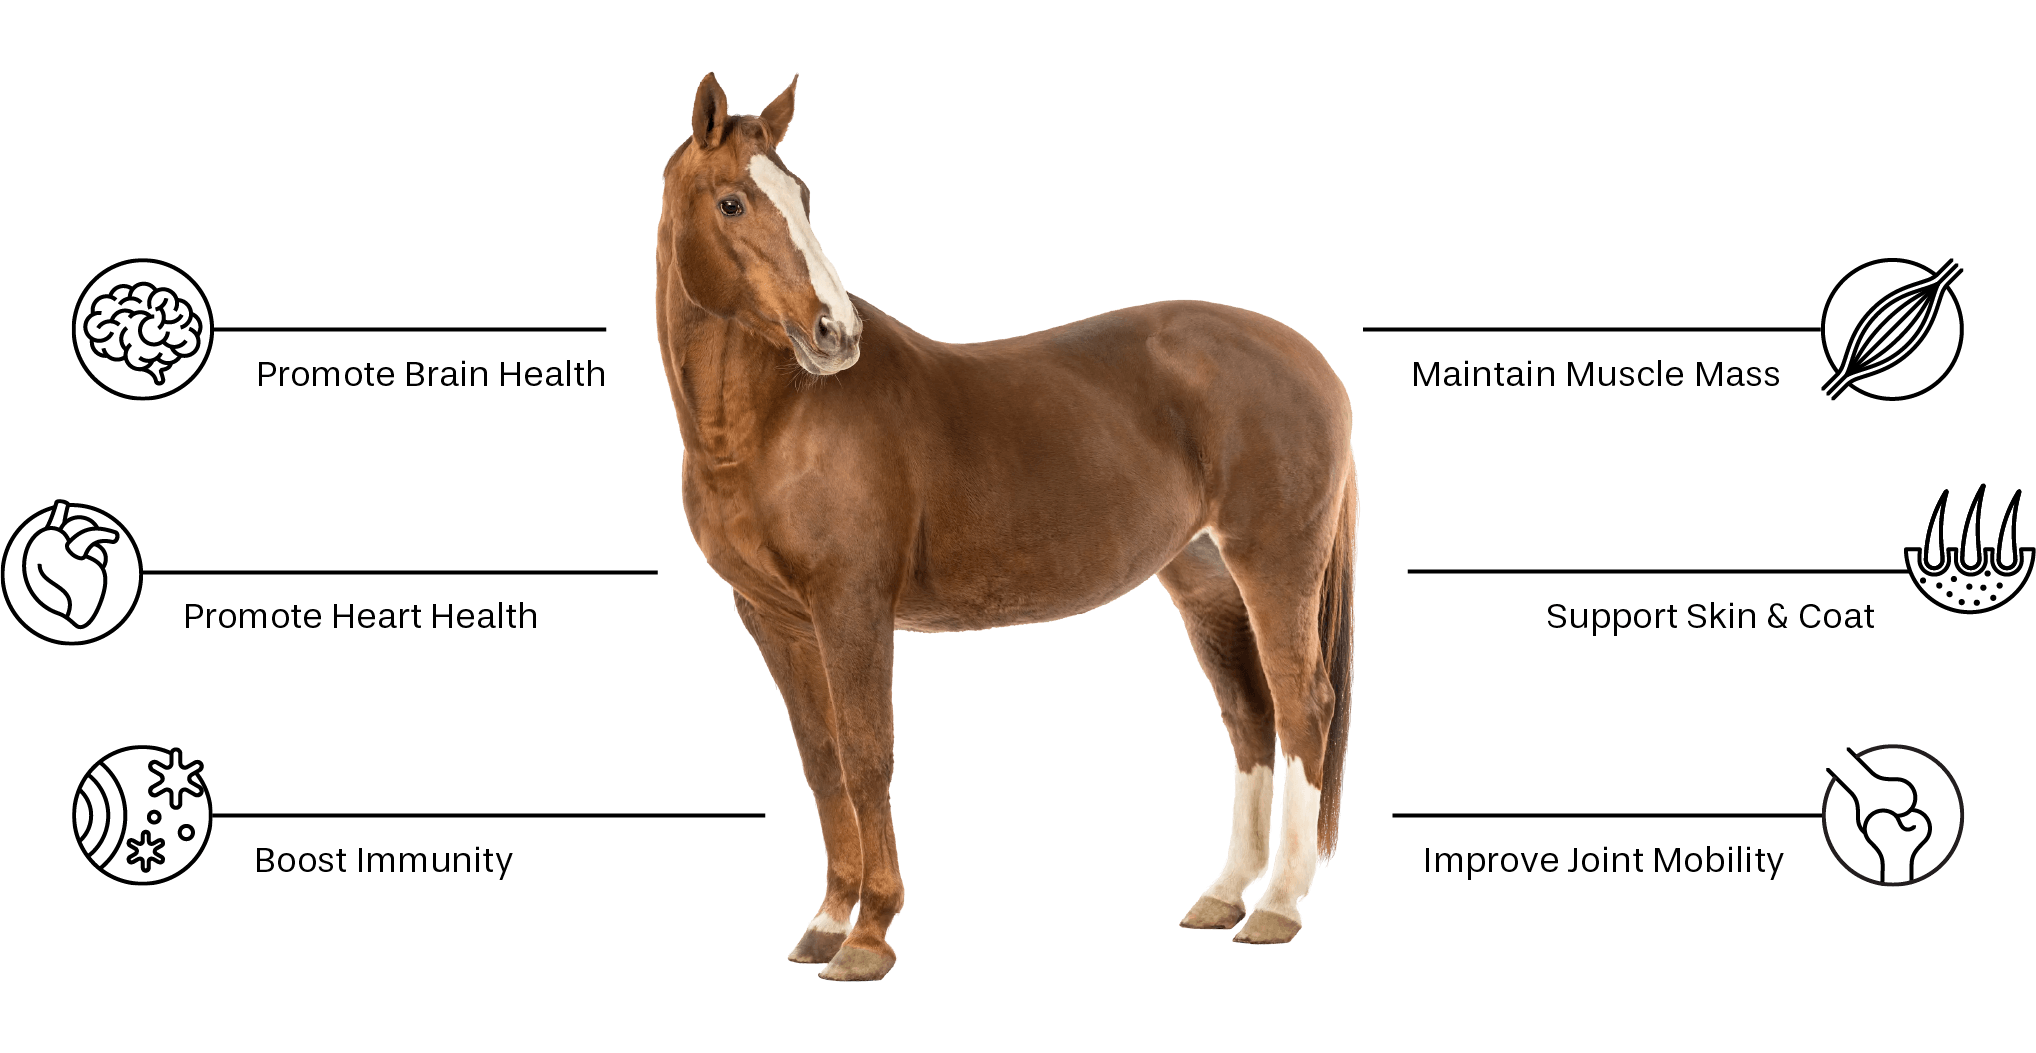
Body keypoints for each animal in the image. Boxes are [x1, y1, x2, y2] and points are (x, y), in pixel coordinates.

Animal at [656, 72, 1358, 981]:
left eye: (803, 197)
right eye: (734, 202)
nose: (834, 335)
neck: (777, 419)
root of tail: (1314, 362)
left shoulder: (852, 606)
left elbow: (868, 754)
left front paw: (870, 935)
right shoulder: (772, 616)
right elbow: (821, 760)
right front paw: (825, 921)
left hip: (1274, 567)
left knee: (1304, 705)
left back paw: (1275, 906)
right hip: (1204, 579)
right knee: (1248, 715)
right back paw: (1222, 894)